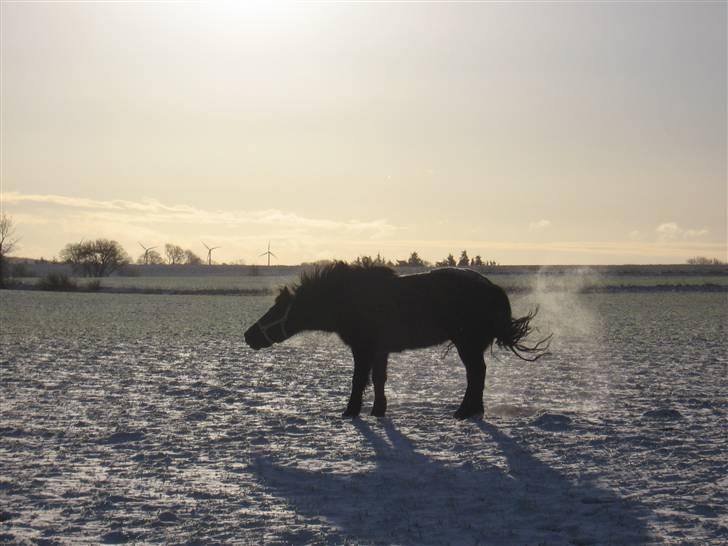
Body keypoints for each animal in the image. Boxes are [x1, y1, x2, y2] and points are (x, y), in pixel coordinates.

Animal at [242, 262, 548, 418]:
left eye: (276, 309)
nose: (249, 335)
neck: (348, 299)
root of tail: (492, 287)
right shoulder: (380, 351)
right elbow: (379, 379)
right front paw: (378, 410)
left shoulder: (363, 348)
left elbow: (358, 380)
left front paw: (351, 411)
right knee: (479, 374)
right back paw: (474, 409)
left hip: (467, 344)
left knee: (476, 373)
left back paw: (464, 410)